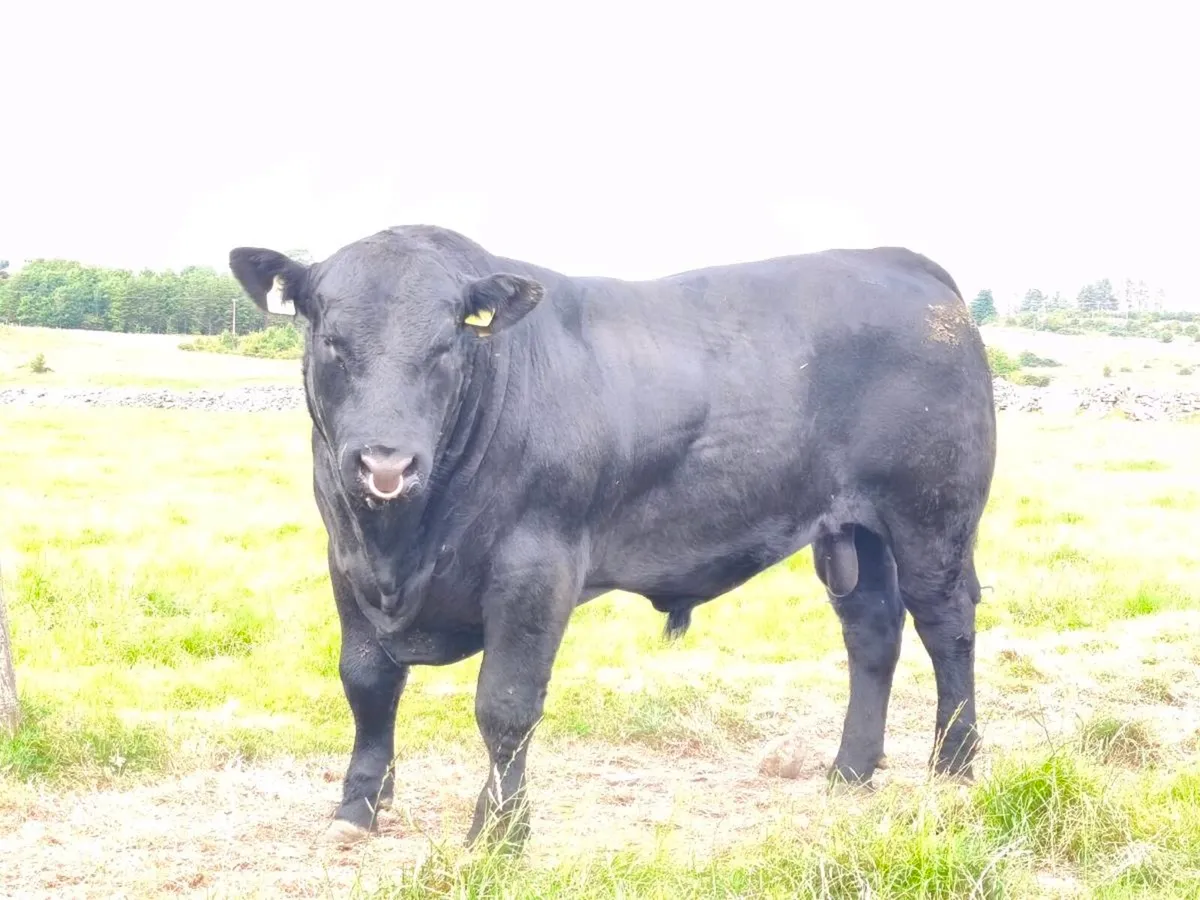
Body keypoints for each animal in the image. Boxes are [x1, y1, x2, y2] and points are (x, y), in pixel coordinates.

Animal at [228, 225, 997, 849]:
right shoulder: (345, 559)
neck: (399, 543)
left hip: (932, 519)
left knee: (946, 628)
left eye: (447, 342)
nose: (385, 462)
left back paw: (953, 766)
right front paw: (357, 807)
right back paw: (850, 770)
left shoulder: (535, 566)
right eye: (332, 340)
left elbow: (505, 705)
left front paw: (499, 834)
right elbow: (366, 683)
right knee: (873, 633)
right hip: (853, 534)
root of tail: (899, 262)